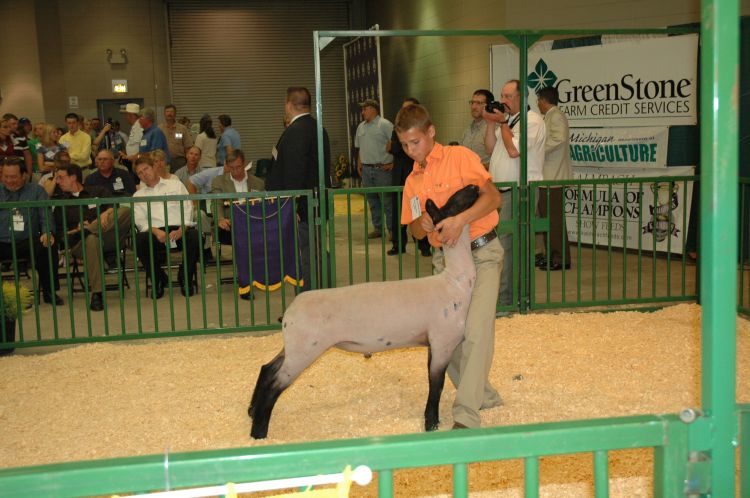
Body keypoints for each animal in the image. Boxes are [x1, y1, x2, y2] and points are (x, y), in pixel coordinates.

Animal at [248, 185, 482, 438]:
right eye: (452, 203)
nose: (474, 186)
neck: (455, 281)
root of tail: (289, 312)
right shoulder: (442, 342)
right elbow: (436, 384)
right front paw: (431, 423)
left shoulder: (434, 343)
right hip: (304, 349)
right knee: (275, 383)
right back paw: (258, 432)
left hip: (293, 346)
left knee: (267, 369)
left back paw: (251, 412)